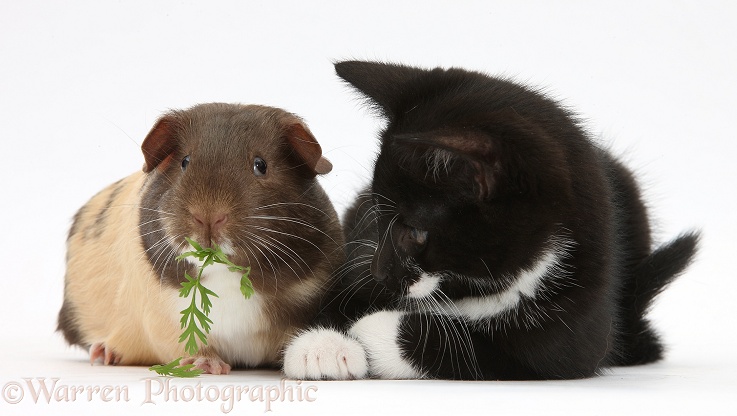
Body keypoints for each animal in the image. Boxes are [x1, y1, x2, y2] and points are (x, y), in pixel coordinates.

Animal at [280, 61, 696, 380]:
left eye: (414, 231)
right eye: (376, 214)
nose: (379, 271)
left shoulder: (569, 337)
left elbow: (469, 348)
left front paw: (367, 330)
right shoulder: (358, 245)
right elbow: (337, 288)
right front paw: (322, 344)